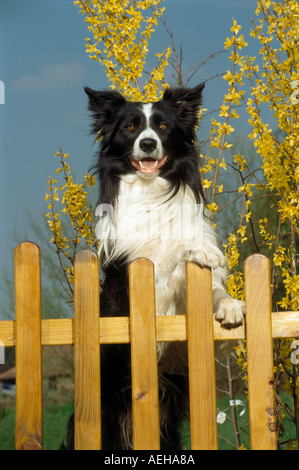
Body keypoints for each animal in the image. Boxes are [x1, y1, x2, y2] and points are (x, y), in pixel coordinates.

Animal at [65, 82, 246, 450]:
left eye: (163, 126)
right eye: (130, 127)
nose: (147, 144)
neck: (153, 193)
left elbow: (212, 285)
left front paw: (229, 304)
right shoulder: (138, 286)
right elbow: (167, 255)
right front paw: (198, 250)